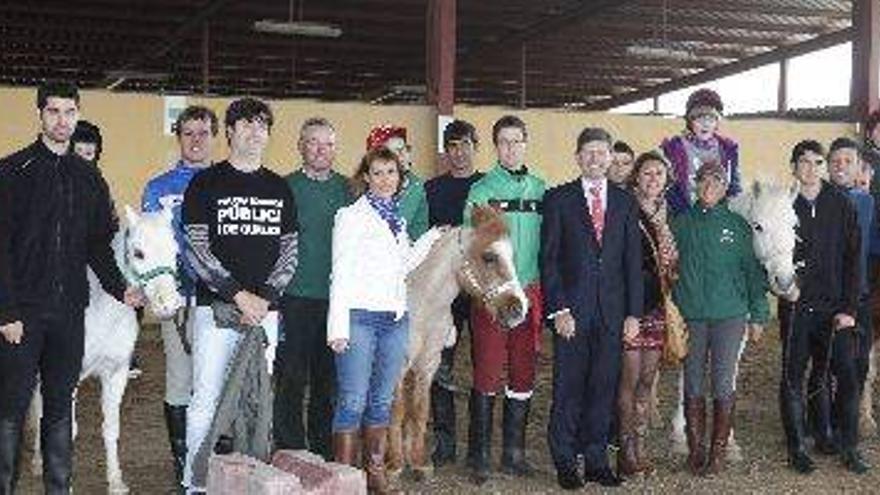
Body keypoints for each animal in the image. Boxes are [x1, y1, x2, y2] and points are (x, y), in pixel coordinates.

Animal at [28, 205, 183, 492]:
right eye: (138, 252)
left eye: (175, 251)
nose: (169, 305)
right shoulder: (67, 378)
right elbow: (68, 431)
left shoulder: (116, 374)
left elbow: (111, 427)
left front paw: (116, 481)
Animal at [386, 205, 524, 480]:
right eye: (489, 257)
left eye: (511, 255)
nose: (518, 309)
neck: (424, 305)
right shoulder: (398, 364)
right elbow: (397, 410)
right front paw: (394, 464)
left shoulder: (428, 364)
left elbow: (419, 410)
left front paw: (418, 462)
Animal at [668, 181, 796, 462]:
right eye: (758, 226)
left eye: (794, 225)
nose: (784, 281)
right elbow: (686, 376)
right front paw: (680, 433)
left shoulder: (739, 333)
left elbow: (729, 376)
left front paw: (729, 441)